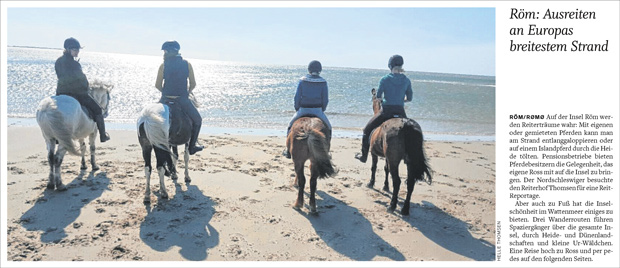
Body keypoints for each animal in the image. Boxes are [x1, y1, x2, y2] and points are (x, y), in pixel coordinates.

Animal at [368, 88, 432, 216]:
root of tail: (406, 125)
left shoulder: (374, 154)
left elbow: (374, 168)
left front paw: (371, 183)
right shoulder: (387, 157)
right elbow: (386, 169)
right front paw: (385, 186)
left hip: (394, 160)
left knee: (397, 181)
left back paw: (392, 206)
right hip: (410, 162)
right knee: (410, 183)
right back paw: (405, 209)